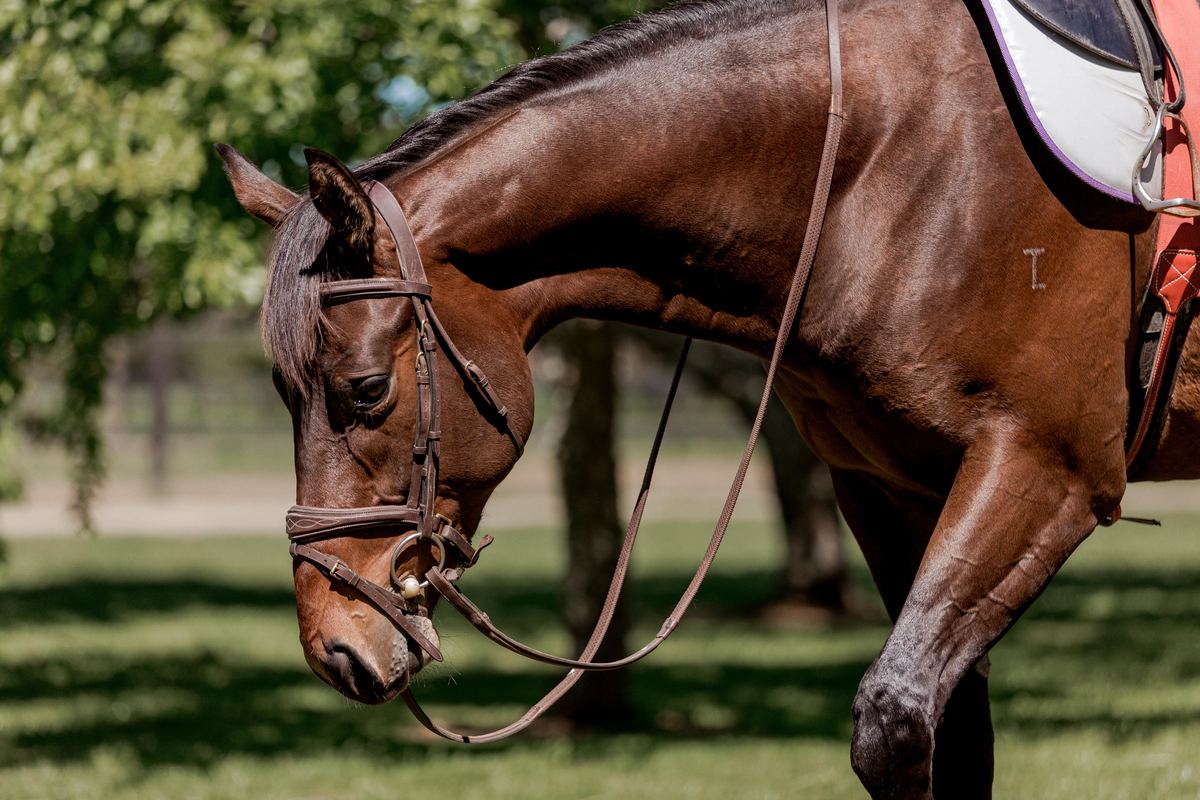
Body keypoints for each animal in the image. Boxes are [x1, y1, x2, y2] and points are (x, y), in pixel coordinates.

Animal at [217, 0, 1200, 796]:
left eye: (366, 389)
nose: (335, 645)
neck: (892, 158)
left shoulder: (1045, 469)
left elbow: (893, 719)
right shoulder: (889, 490)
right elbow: (951, 734)